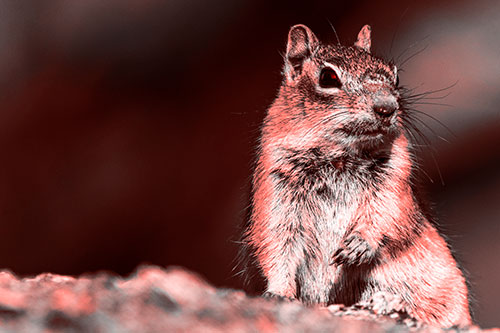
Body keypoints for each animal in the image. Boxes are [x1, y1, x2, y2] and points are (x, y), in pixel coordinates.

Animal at [243, 24, 472, 326]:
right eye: (328, 77)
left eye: (396, 75)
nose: (387, 108)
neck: (339, 156)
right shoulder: (276, 189)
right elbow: (276, 244)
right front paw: (279, 293)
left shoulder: (394, 180)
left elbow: (387, 213)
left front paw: (358, 246)